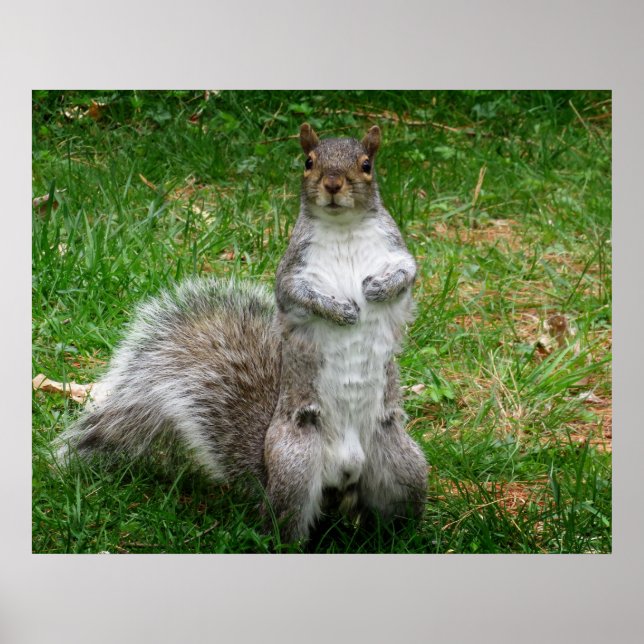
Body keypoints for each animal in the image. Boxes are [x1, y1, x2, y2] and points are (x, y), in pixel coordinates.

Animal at [55, 123, 428, 543]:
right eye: (308, 162)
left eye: (367, 165)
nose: (332, 184)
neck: (343, 229)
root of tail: (341, 482)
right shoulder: (292, 270)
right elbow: (298, 293)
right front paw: (339, 310)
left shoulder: (396, 250)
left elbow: (407, 272)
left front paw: (379, 289)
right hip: (296, 465)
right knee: (285, 524)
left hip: (402, 463)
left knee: (395, 511)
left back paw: (406, 539)